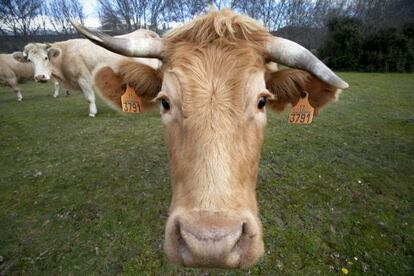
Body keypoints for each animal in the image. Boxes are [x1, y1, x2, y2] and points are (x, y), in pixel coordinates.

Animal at [21, 29, 162, 117]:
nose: (39, 77)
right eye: (29, 60)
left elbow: (89, 98)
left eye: (46, 58)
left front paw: (92, 113)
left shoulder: (83, 78)